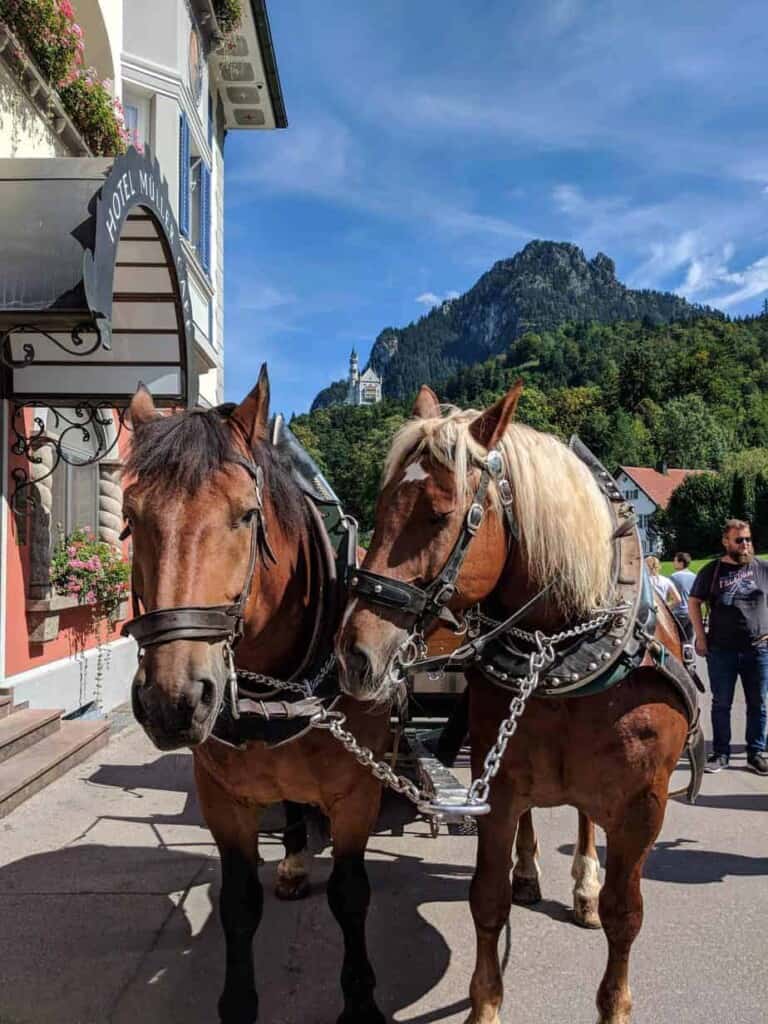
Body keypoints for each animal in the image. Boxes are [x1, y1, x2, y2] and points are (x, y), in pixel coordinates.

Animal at [126, 370, 393, 1024]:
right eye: (130, 516)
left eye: (247, 515)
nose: (173, 699)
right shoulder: (222, 798)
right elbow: (239, 904)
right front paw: (239, 1002)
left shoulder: (358, 794)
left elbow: (352, 895)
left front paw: (361, 1001)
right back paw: (294, 858)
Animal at [335, 382, 696, 1024]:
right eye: (376, 509)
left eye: (439, 513)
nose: (355, 654)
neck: (560, 652)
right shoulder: (495, 785)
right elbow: (488, 898)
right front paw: (485, 1004)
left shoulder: (643, 808)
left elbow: (625, 914)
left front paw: (613, 996)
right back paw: (530, 871)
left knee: (584, 821)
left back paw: (583, 885)